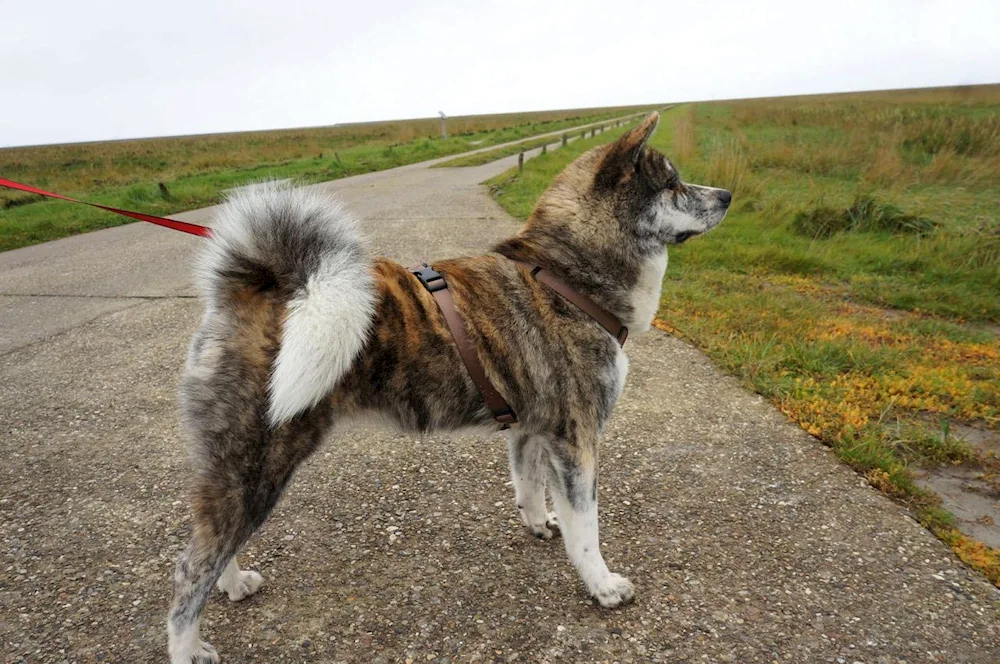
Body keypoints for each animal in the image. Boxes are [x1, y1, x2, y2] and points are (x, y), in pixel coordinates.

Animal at [164, 111, 728, 660]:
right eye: (672, 185)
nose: (726, 196)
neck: (565, 275)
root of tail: (252, 291)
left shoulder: (531, 431)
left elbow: (528, 487)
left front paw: (539, 524)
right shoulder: (576, 441)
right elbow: (586, 529)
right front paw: (603, 586)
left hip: (242, 471)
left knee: (214, 548)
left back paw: (234, 584)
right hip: (256, 465)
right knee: (190, 569)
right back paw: (188, 648)